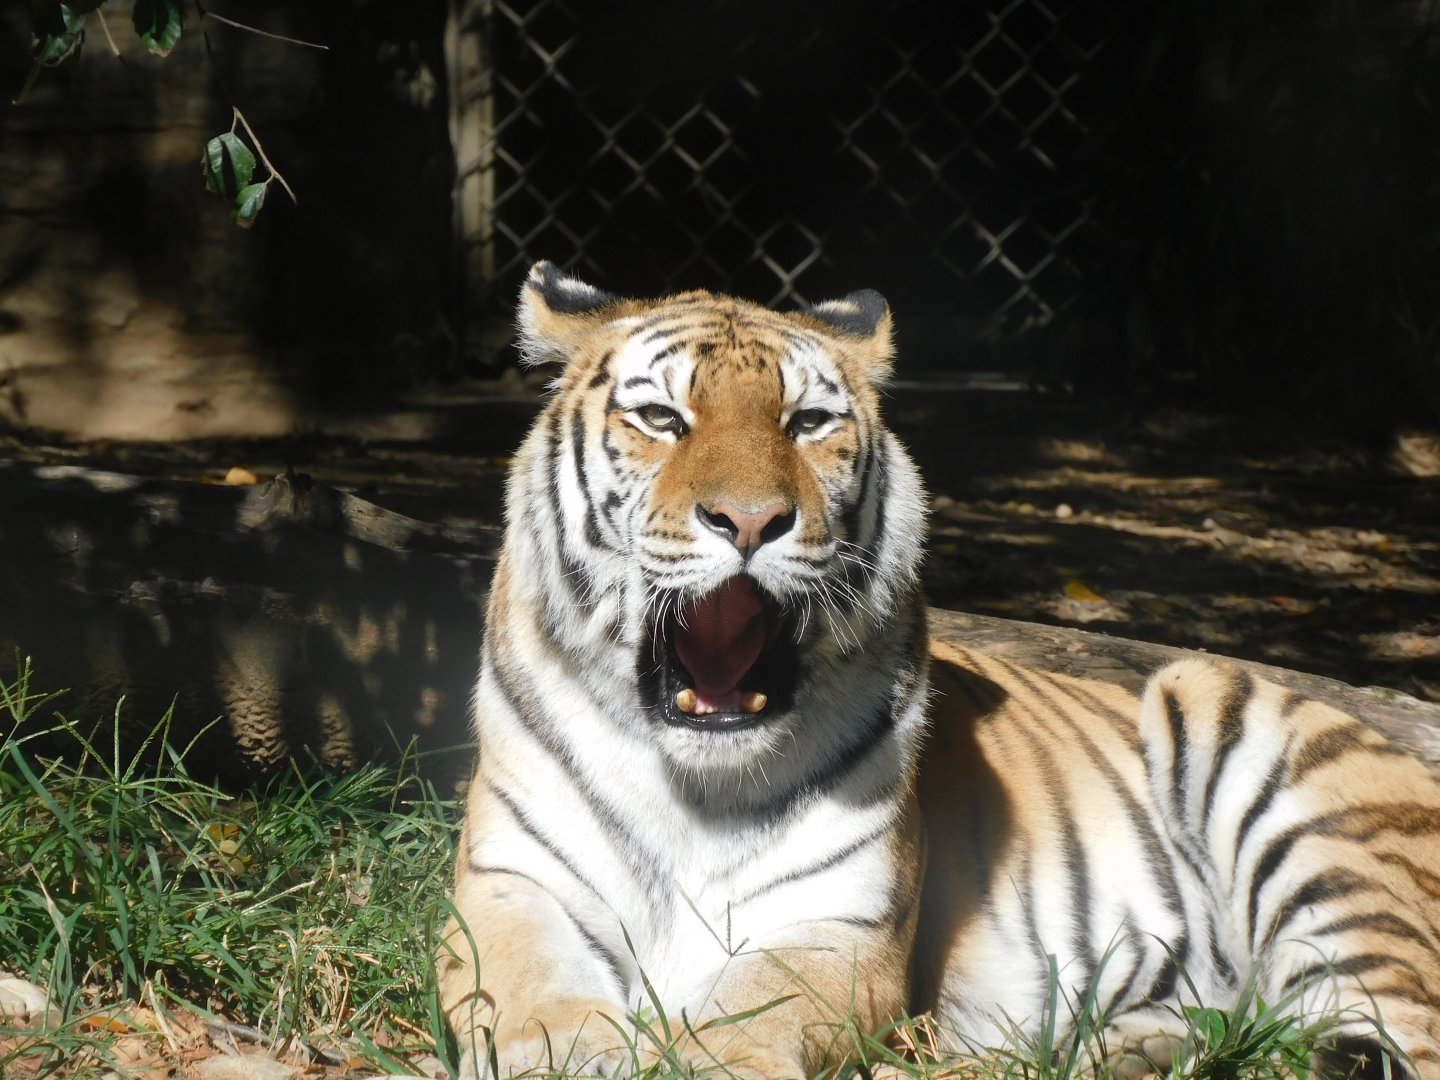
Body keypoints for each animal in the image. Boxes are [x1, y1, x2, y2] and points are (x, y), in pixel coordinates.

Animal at [437, 261, 1440, 1080]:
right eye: (660, 419)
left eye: (807, 424)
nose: (751, 521)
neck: (695, 781)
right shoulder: (508, 888)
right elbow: (534, 993)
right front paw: (570, 1054)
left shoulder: (844, 931)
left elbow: (750, 1022)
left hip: (1235, 724)